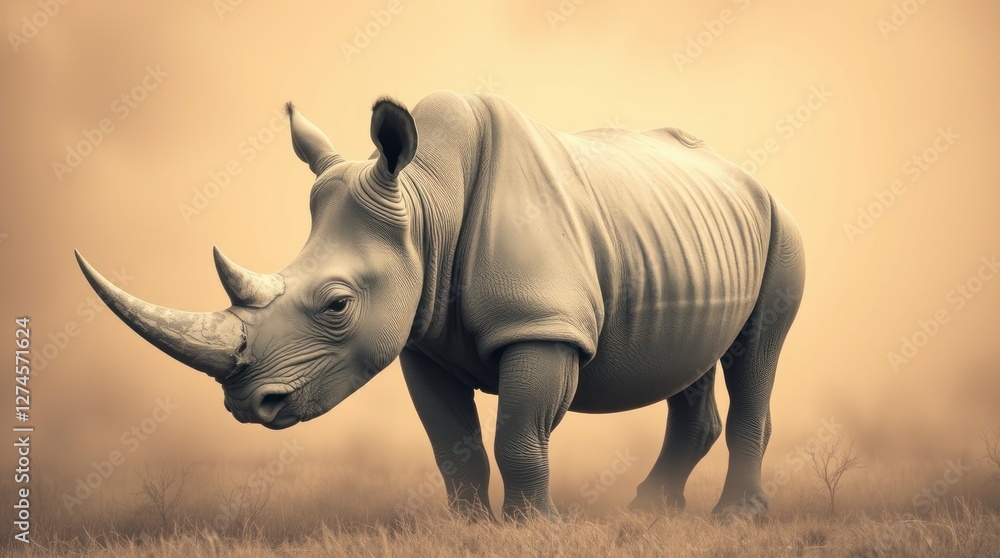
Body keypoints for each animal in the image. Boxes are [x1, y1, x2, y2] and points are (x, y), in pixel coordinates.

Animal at [75, 91, 805, 521]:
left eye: (337, 305)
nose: (249, 405)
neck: (427, 202)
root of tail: (748, 176)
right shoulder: (419, 338)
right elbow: (453, 443)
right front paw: (472, 529)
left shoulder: (541, 326)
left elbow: (519, 435)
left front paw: (533, 528)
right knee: (691, 360)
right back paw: (649, 514)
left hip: (782, 226)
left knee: (757, 351)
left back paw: (733, 518)